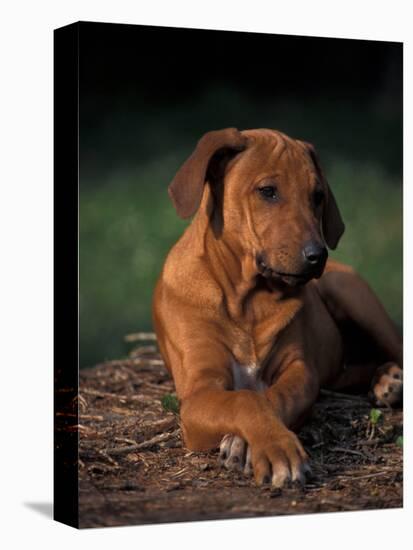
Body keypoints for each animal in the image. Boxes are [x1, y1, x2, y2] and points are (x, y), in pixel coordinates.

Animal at [152, 128, 402, 488]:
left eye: (317, 196)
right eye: (267, 191)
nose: (317, 256)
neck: (248, 301)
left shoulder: (300, 371)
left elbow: (271, 398)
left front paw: (251, 444)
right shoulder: (199, 392)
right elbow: (245, 400)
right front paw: (272, 447)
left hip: (352, 293)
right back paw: (385, 380)